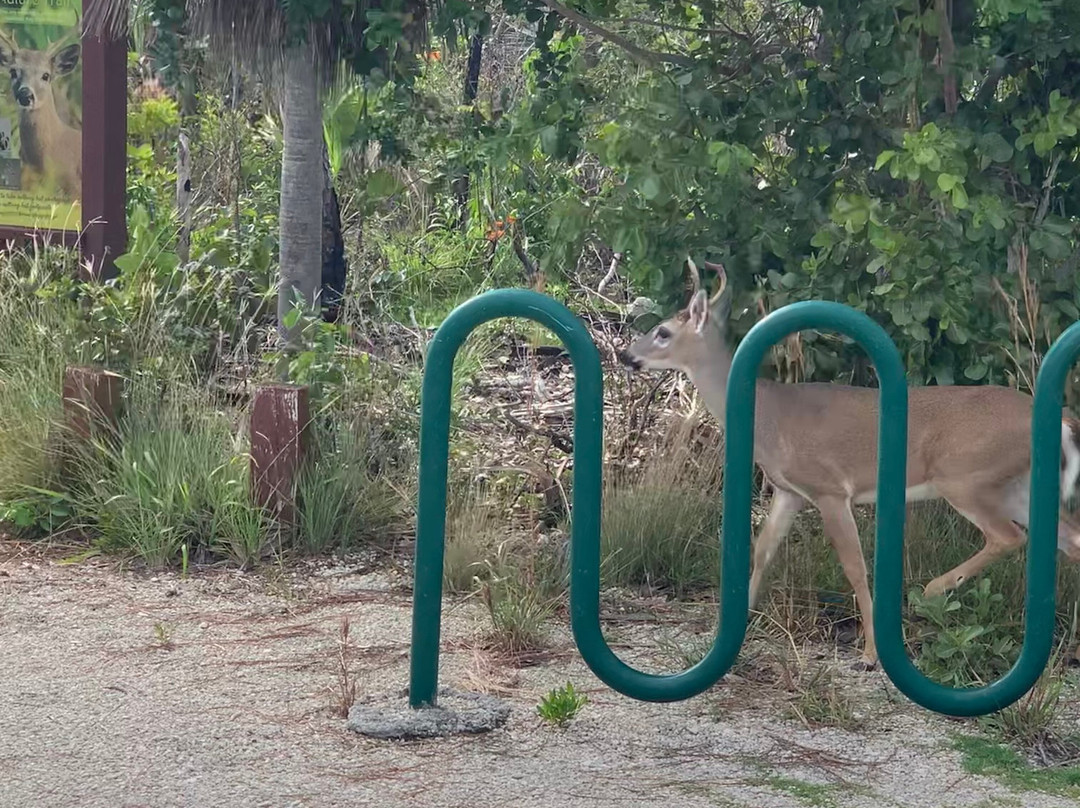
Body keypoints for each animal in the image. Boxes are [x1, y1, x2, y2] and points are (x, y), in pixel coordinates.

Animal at [619, 258, 1080, 670]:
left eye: (663, 331)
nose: (625, 355)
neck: (769, 416)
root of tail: (1059, 420)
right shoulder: (789, 490)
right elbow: (763, 551)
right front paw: (732, 631)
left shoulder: (829, 488)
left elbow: (855, 568)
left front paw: (871, 654)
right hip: (1016, 485)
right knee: (1070, 538)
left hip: (966, 476)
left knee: (1008, 536)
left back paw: (933, 590)